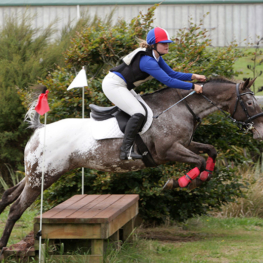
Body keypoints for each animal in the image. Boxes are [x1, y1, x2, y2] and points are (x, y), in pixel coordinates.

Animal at [0, 77, 263, 250]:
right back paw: (3, 245)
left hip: (37, 174)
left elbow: (211, 150)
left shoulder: (186, 144)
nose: (259, 132)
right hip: (43, 177)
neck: (182, 108)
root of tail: (40, 129)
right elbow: (198, 160)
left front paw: (203, 176)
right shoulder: (168, 151)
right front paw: (180, 182)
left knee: (10, 194)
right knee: (16, 208)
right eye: (250, 104)